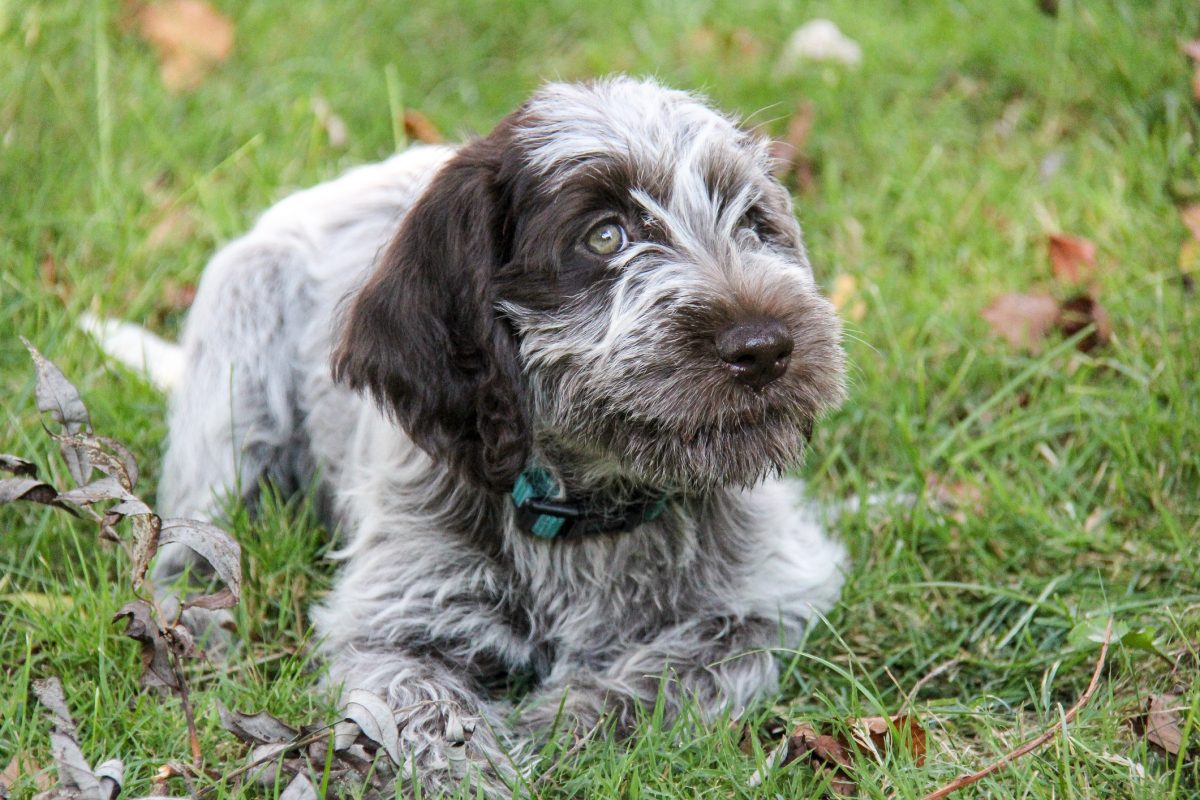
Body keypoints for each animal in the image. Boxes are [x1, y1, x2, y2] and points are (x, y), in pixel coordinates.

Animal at [147, 74, 844, 796]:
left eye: (754, 223)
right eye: (605, 237)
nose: (765, 348)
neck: (585, 509)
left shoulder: (768, 600)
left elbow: (662, 678)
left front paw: (551, 730)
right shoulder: (393, 626)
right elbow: (429, 713)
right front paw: (485, 766)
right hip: (239, 351)